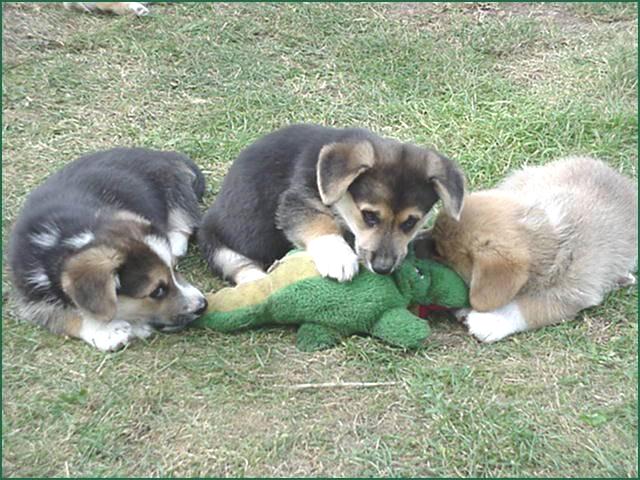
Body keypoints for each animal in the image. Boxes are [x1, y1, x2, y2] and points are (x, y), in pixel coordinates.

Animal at [8, 148, 208, 350]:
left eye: (174, 270)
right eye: (157, 291)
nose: (203, 304)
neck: (68, 241)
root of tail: (163, 154)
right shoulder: (32, 300)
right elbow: (66, 315)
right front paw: (108, 332)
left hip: (173, 188)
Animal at [198, 124, 462, 284]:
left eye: (410, 223)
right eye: (369, 216)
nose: (383, 268)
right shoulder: (295, 201)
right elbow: (320, 223)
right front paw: (338, 257)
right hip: (219, 245)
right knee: (240, 265)